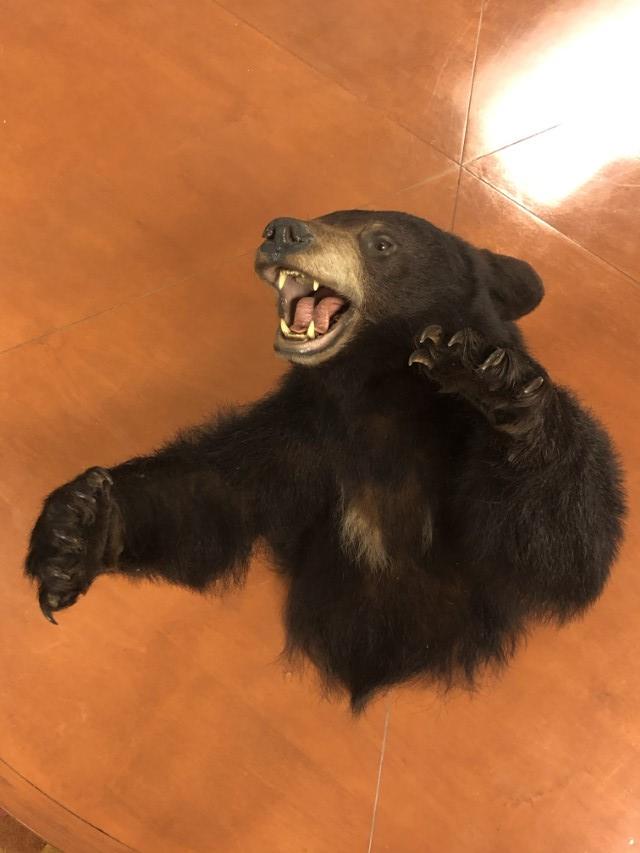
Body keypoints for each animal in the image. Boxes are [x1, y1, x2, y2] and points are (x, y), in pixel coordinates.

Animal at [26, 210, 626, 711]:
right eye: (328, 215)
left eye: (381, 242)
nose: (281, 231)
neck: (377, 395)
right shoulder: (301, 438)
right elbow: (211, 492)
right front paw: (79, 527)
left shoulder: (460, 469)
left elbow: (564, 548)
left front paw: (493, 378)